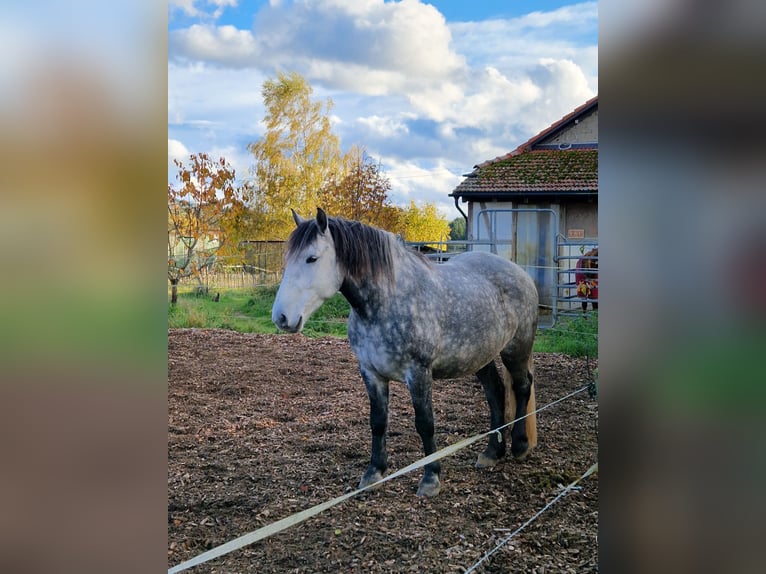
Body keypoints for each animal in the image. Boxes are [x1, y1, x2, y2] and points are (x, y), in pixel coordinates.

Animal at [272, 208, 539, 497]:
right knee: (495, 392)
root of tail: (519, 272)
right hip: (479, 356)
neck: (387, 301)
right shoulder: (371, 373)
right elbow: (378, 421)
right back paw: (492, 452)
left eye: (312, 258)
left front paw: (431, 477)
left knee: (522, 387)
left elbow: (425, 423)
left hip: (516, 349)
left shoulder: (418, 373)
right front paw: (374, 472)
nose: (281, 317)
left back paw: (520, 446)